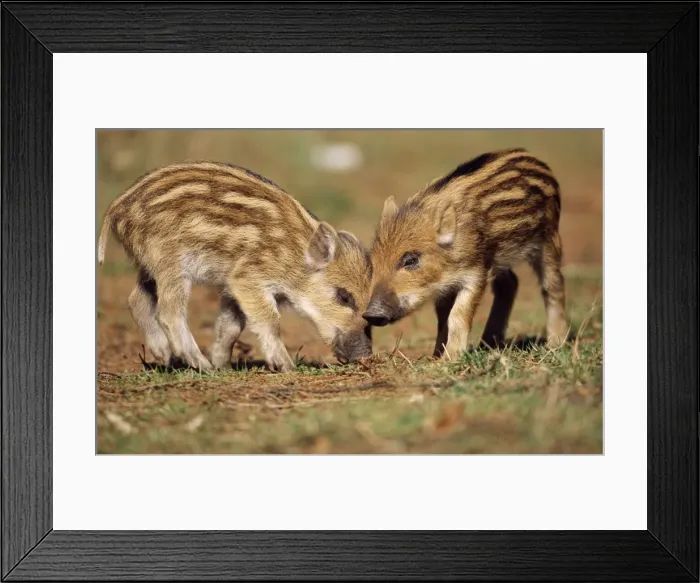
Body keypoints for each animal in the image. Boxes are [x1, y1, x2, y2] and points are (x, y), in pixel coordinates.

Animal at [97, 161, 373, 372]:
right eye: (344, 296)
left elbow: (230, 326)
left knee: (136, 300)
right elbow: (269, 319)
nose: (366, 356)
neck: (294, 256)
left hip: (149, 266)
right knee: (168, 312)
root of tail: (116, 207)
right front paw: (286, 366)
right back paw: (201, 365)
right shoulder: (248, 277)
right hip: (170, 263)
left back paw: (167, 357)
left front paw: (224, 366)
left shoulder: (233, 286)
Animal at [364, 148, 568, 359]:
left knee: (553, 284)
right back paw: (488, 345)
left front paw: (450, 358)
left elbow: (457, 315)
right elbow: (443, 317)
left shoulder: (475, 272)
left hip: (549, 237)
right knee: (510, 284)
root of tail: (535, 159)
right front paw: (435, 357)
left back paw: (556, 345)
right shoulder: (446, 284)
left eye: (410, 260)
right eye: (373, 263)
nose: (371, 314)